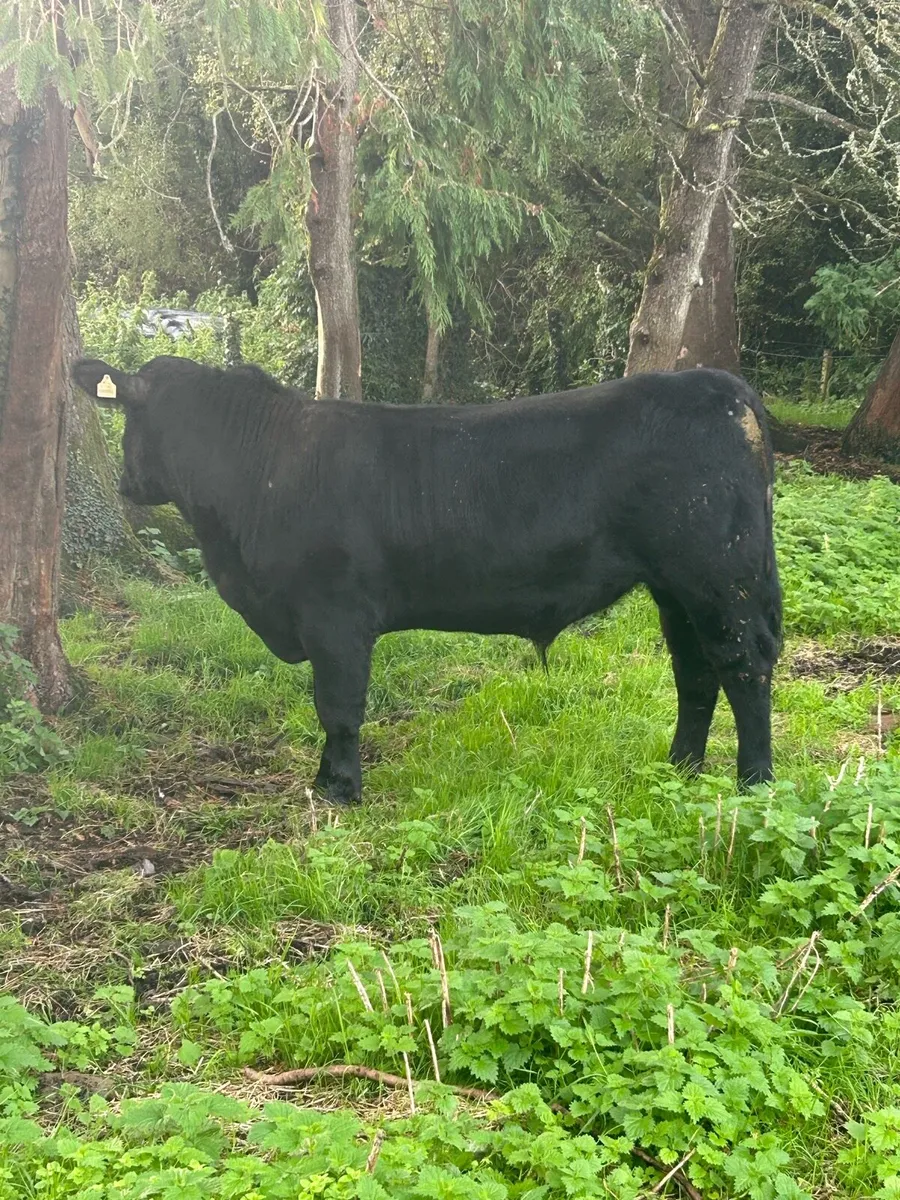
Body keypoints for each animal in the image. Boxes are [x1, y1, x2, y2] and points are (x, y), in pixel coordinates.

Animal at [72, 356, 782, 804]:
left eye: (130, 417)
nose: (126, 484)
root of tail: (720, 386)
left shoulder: (334, 615)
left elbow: (338, 705)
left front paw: (338, 790)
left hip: (720, 576)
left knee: (743, 666)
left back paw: (754, 783)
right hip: (675, 587)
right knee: (695, 671)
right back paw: (681, 768)